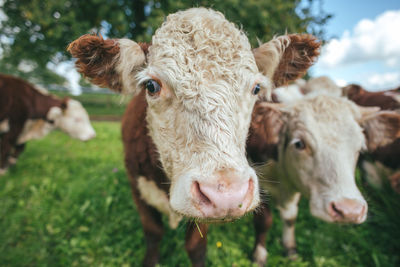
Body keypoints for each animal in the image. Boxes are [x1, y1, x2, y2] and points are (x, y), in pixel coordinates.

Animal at [67, 7, 320, 266]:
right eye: (151, 86)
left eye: (256, 89)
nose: (227, 195)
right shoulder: (137, 186)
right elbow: (153, 233)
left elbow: (196, 246)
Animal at [245, 95, 400, 266]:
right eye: (299, 144)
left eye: (359, 147)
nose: (349, 210)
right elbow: (263, 221)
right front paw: (259, 255)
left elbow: (290, 218)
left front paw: (290, 249)